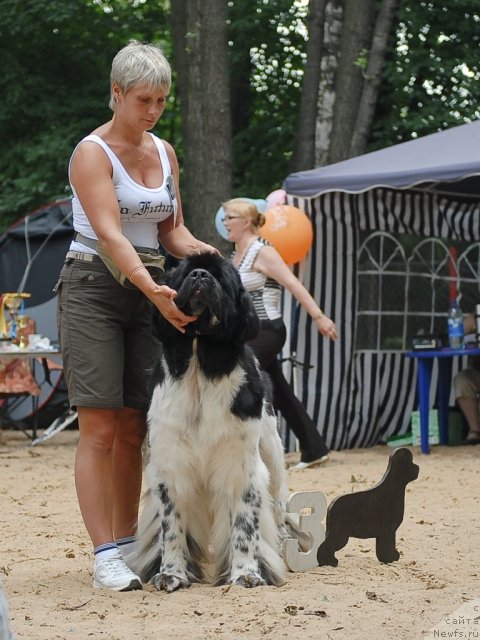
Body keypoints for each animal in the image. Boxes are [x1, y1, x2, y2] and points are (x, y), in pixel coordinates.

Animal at [131, 250, 286, 592]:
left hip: (273, 456)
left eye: (220, 277)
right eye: (186, 273)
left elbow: (244, 525)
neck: (200, 367)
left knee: (278, 507)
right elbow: (172, 527)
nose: (201, 275)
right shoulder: (171, 465)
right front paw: (171, 574)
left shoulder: (241, 465)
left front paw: (246, 573)